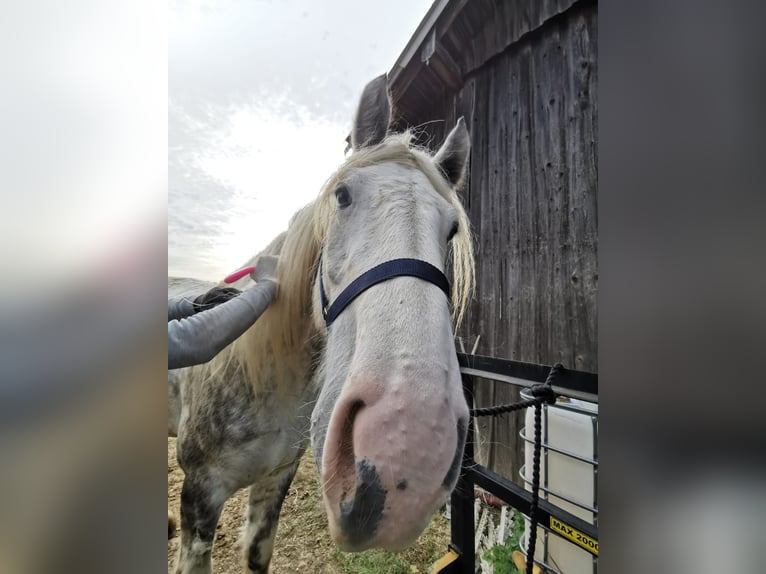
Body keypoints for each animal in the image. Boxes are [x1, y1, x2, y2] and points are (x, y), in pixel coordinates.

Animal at [168, 73, 475, 574]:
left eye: (451, 228)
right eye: (343, 196)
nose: (407, 448)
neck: (265, 379)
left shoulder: (275, 480)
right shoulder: (200, 496)